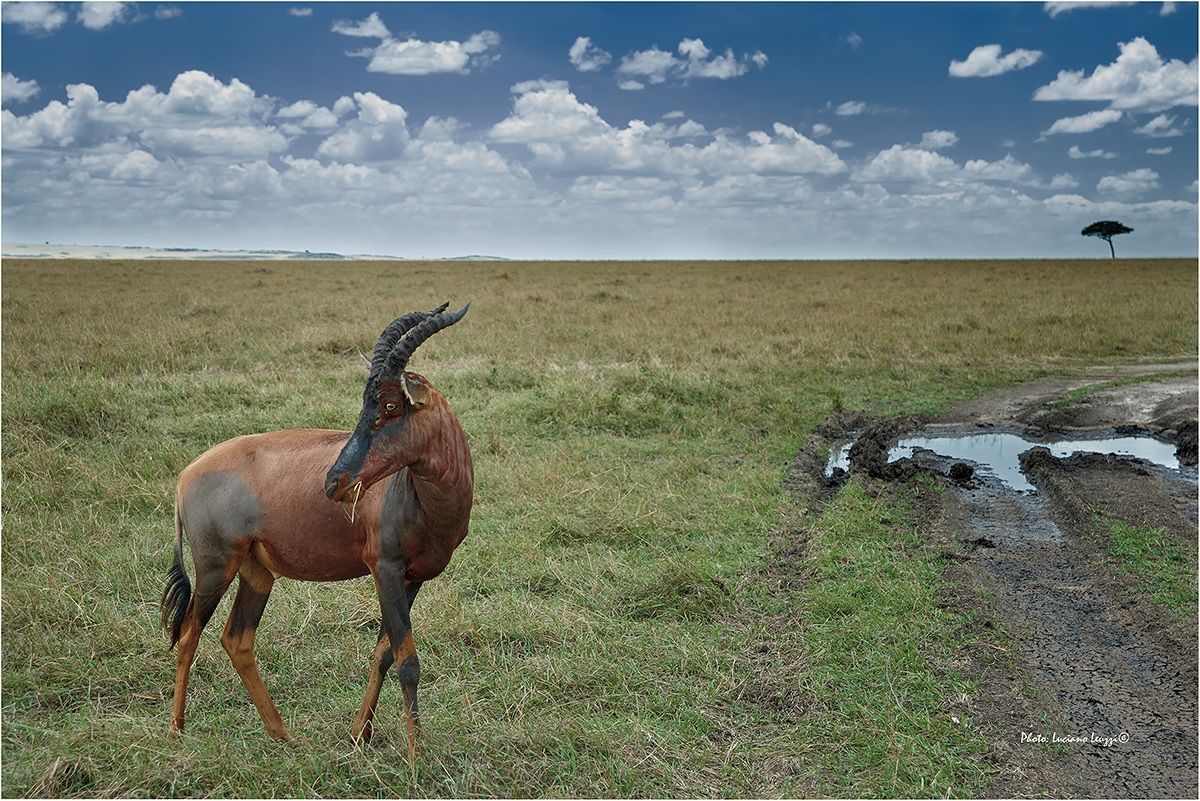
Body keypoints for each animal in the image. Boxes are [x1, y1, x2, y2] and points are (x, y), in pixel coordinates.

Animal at [160, 303, 473, 757]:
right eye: (368, 404)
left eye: (390, 406)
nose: (334, 483)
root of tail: (185, 476)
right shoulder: (385, 568)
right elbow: (408, 661)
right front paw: (417, 757)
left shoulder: (412, 577)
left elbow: (384, 653)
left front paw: (360, 734)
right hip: (216, 567)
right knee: (188, 634)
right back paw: (176, 730)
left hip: (257, 573)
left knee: (236, 640)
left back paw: (282, 735)